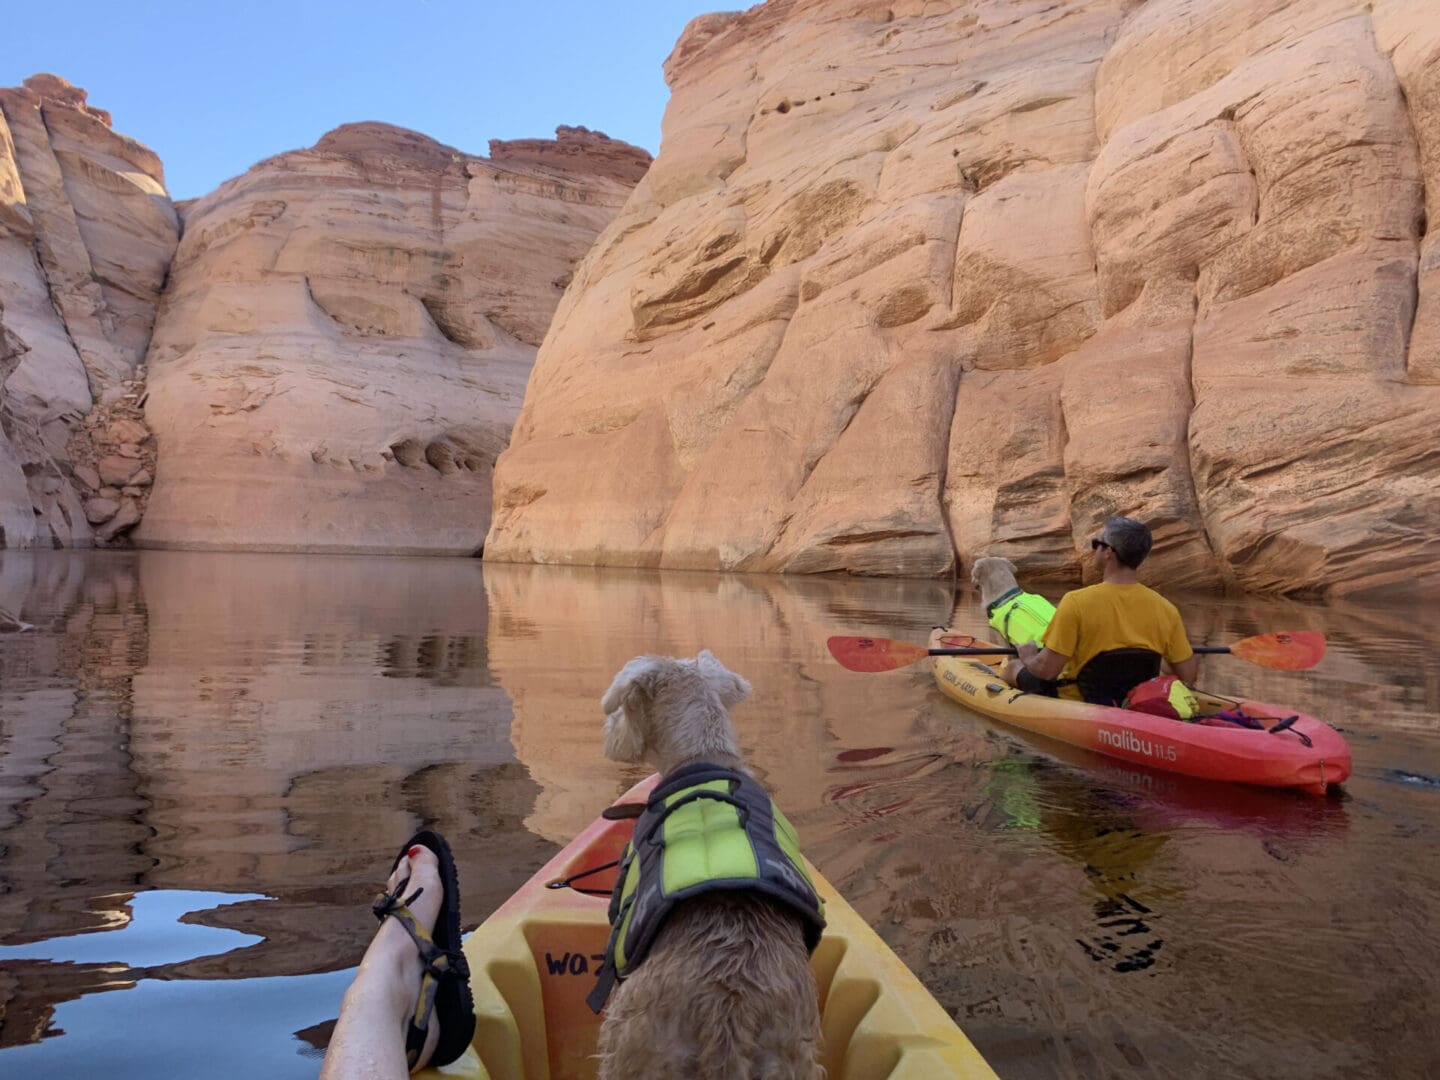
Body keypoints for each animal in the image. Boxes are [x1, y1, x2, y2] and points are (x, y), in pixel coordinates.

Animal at [593, 650, 823, 1080]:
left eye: (624, 705)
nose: (609, 732)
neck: (701, 757)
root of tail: (728, 1014)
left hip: (629, 1047)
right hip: (793, 1059)